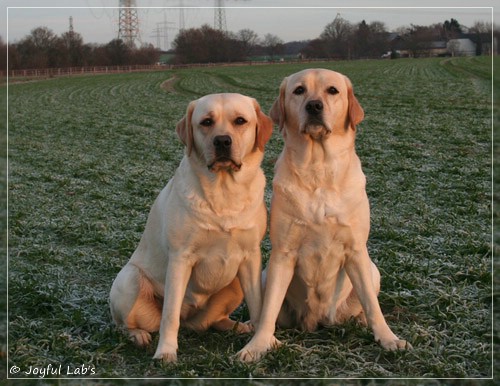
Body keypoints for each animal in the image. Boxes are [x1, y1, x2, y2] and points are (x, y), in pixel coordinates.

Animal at [110, 92, 274, 362]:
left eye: (240, 121)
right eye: (206, 122)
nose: (222, 141)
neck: (224, 193)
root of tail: (191, 320)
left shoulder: (251, 257)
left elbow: (259, 305)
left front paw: (261, 341)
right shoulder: (180, 258)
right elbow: (169, 315)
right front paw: (166, 352)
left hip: (235, 283)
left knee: (213, 321)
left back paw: (237, 326)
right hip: (129, 279)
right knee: (125, 324)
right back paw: (138, 335)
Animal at [238, 69, 410, 362]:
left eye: (332, 90)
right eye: (299, 90)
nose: (314, 106)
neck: (318, 168)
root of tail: (316, 321)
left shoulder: (356, 249)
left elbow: (373, 306)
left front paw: (388, 339)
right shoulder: (283, 254)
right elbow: (268, 308)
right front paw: (257, 345)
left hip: (372, 270)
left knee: (366, 303)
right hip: (264, 274)